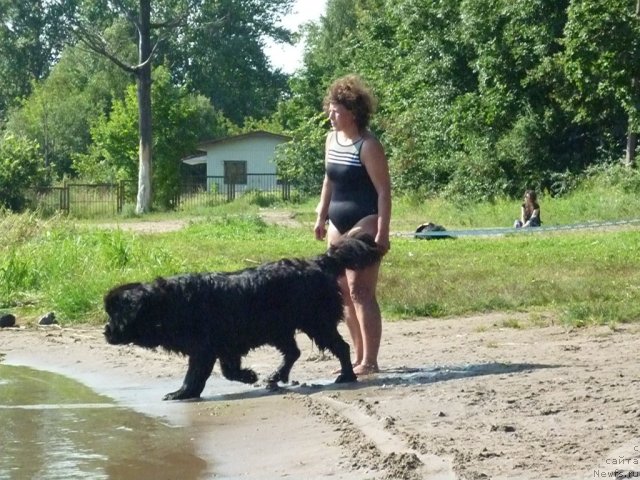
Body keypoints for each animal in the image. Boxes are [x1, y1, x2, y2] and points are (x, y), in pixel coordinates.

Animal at [104, 232, 380, 402]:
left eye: (114, 314)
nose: (105, 331)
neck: (168, 305)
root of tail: (319, 262)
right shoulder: (224, 345)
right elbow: (227, 370)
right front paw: (248, 376)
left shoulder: (204, 348)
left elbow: (196, 373)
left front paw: (181, 393)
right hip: (279, 328)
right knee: (293, 352)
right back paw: (275, 376)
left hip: (317, 322)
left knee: (340, 346)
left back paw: (346, 375)